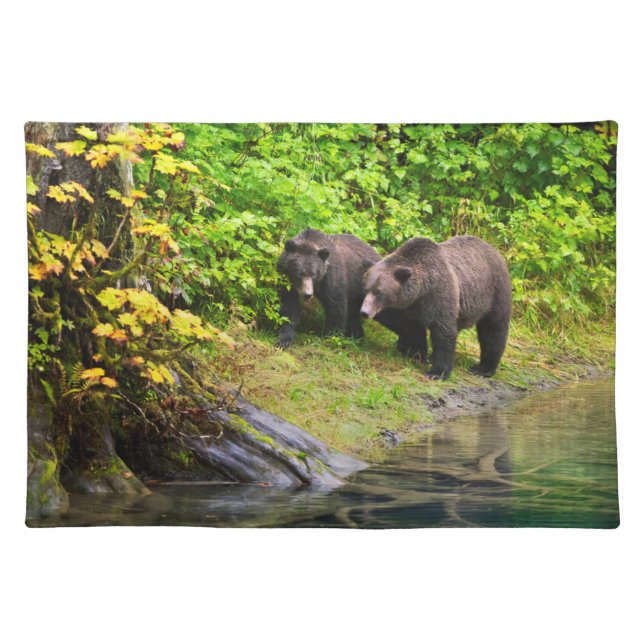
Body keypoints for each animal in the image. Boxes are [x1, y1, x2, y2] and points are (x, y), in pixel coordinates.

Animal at [276, 228, 428, 355]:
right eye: (299, 273)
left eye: (314, 274)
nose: (307, 294)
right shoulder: (288, 282)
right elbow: (289, 308)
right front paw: (284, 339)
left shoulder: (333, 278)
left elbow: (336, 307)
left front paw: (330, 337)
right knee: (355, 317)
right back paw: (357, 338)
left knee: (398, 316)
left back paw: (415, 350)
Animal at [359, 235, 512, 380]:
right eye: (366, 289)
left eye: (379, 292)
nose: (364, 312)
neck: (420, 292)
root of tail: (493, 249)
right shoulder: (405, 307)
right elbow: (407, 326)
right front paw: (415, 351)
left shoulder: (438, 294)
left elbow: (443, 332)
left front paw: (437, 372)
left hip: (494, 291)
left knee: (494, 329)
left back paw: (483, 368)